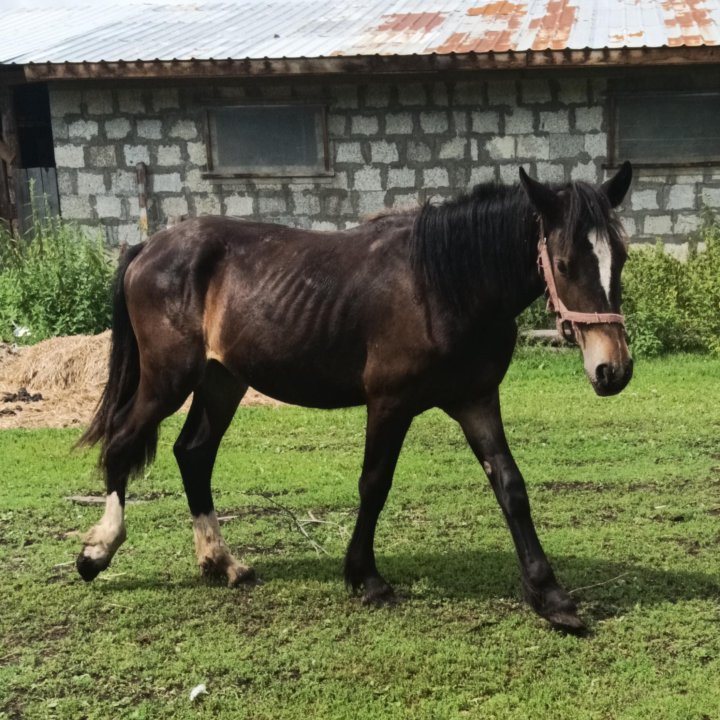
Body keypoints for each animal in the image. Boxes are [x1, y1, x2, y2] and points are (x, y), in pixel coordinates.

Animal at [76, 162, 632, 632]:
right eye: (564, 263)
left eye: (620, 258)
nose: (614, 370)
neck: (444, 285)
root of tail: (147, 248)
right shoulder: (389, 403)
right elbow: (374, 484)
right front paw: (365, 578)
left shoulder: (476, 401)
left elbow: (511, 487)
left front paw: (551, 597)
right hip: (167, 380)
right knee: (122, 442)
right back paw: (96, 552)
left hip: (222, 381)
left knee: (193, 454)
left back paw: (221, 562)